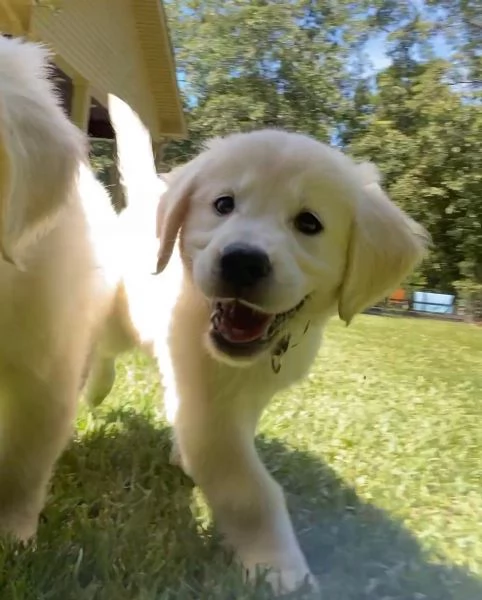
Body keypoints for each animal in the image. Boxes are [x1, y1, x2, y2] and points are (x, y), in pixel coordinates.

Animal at [91, 125, 430, 592]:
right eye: (223, 205)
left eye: (309, 223)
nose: (242, 261)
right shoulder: (207, 407)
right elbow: (250, 489)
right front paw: (281, 569)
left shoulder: (248, 395)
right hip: (119, 313)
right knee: (98, 339)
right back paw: (92, 386)